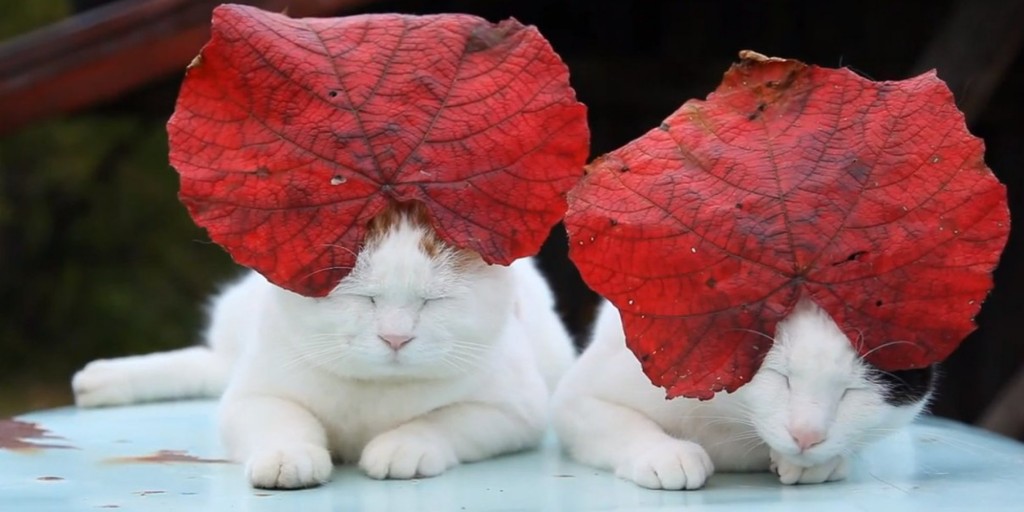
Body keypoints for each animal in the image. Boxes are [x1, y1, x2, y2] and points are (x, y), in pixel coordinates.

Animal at [74, 205, 577, 489]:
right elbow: (285, 421)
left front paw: (403, 445)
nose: (396, 337)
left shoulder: (515, 412)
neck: (372, 391)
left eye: (432, 302)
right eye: (365, 299)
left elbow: (442, 421)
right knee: (213, 364)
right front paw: (288, 456)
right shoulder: (254, 397)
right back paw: (105, 378)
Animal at [552, 299, 937, 487]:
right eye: (781, 377)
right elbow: (619, 421)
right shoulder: (579, 395)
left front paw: (819, 463)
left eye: (850, 392)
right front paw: (665, 453)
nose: (807, 436)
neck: (729, 419)